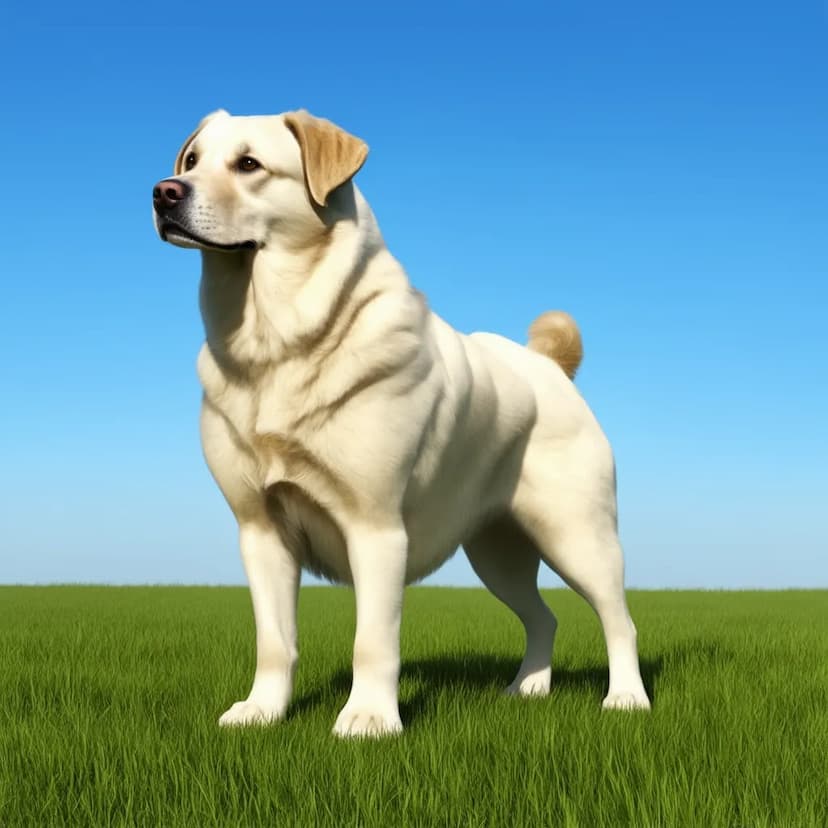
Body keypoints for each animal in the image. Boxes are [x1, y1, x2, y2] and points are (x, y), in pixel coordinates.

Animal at [152, 110, 652, 736]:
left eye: (249, 164)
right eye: (192, 161)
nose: (163, 193)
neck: (276, 342)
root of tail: (548, 365)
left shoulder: (376, 528)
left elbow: (372, 641)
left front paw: (367, 721)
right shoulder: (260, 530)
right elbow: (274, 641)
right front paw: (262, 712)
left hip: (578, 536)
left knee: (619, 619)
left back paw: (626, 699)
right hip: (498, 551)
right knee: (543, 618)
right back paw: (525, 691)